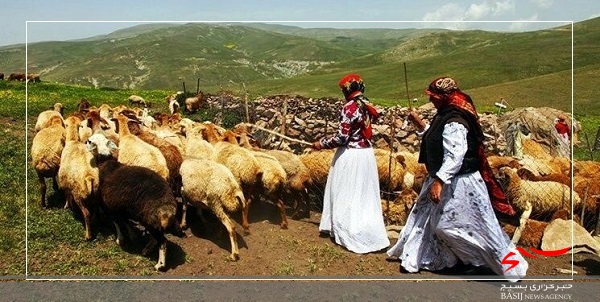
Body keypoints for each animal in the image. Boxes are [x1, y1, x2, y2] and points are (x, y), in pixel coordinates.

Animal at [85, 133, 182, 270]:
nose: (84, 142)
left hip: (149, 219)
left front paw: (120, 239)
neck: (105, 162)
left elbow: (116, 222)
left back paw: (160, 264)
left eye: (89, 141)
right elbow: (125, 221)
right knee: (157, 238)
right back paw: (147, 249)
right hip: (151, 221)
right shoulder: (123, 207)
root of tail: (167, 206)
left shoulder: (109, 206)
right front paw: (132, 235)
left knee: (163, 241)